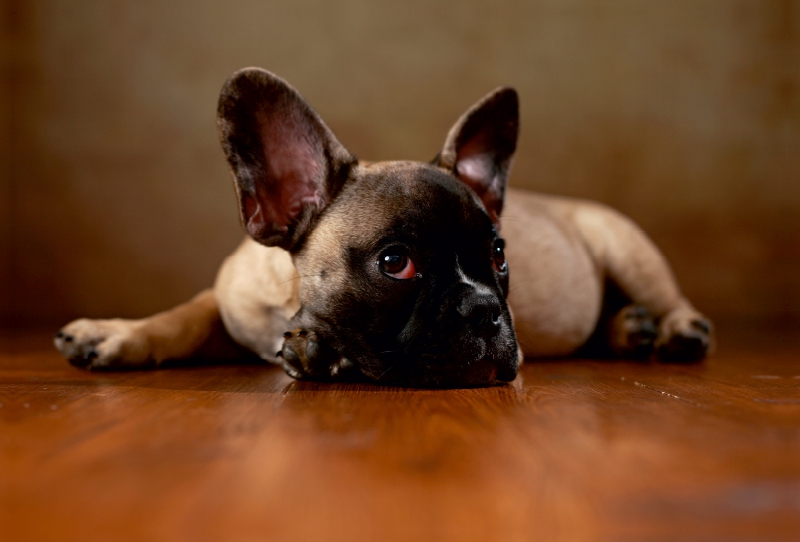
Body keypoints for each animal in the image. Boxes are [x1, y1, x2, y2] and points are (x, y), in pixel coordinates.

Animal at [53, 68, 712, 388]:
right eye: (396, 263)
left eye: (500, 256)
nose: (486, 309)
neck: (295, 305)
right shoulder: (227, 303)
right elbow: (184, 317)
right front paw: (116, 333)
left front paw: (323, 357)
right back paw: (631, 330)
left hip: (625, 245)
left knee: (669, 297)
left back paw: (672, 331)